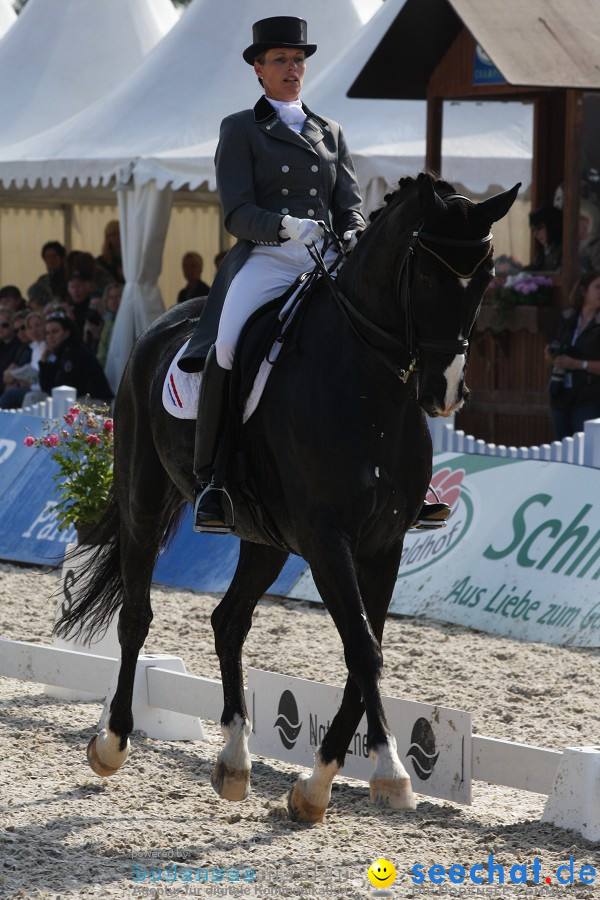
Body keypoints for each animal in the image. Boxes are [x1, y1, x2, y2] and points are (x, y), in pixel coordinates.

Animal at [55, 174, 516, 824]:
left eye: (487, 277)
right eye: (426, 274)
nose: (445, 391)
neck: (368, 388)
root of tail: (163, 326)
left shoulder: (383, 545)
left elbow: (364, 651)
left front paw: (320, 783)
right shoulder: (327, 540)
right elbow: (363, 651)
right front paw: (388, 773)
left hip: (263, 538)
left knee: (228, 621)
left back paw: (234, 760)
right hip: (143, 500)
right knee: (137, 615)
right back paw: (112, 741)